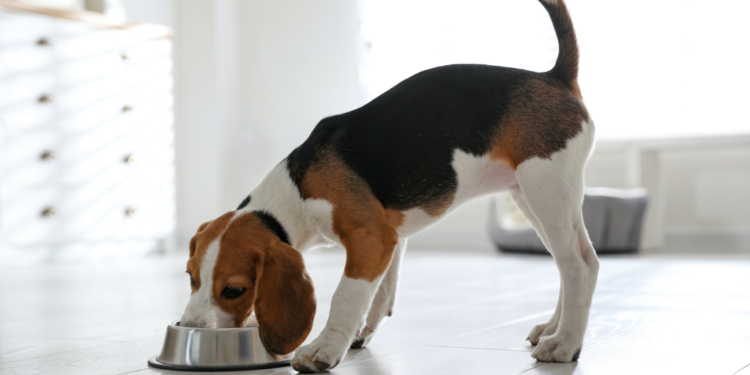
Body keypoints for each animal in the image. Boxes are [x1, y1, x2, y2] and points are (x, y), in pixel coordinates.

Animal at [181, 0, 600, 374]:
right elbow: (380, 293)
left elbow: (345, 295)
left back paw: (565, 344)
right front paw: (360, 332)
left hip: (546, 189)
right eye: (190, 277)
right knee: (575, 263)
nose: (189, 329)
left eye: (234, 290)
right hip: (531, 198)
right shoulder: (391, 237)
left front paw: (322, 349)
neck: (295, 189)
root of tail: (554, 76)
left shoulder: (371, 238)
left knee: (578, 266)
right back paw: (553, 328)